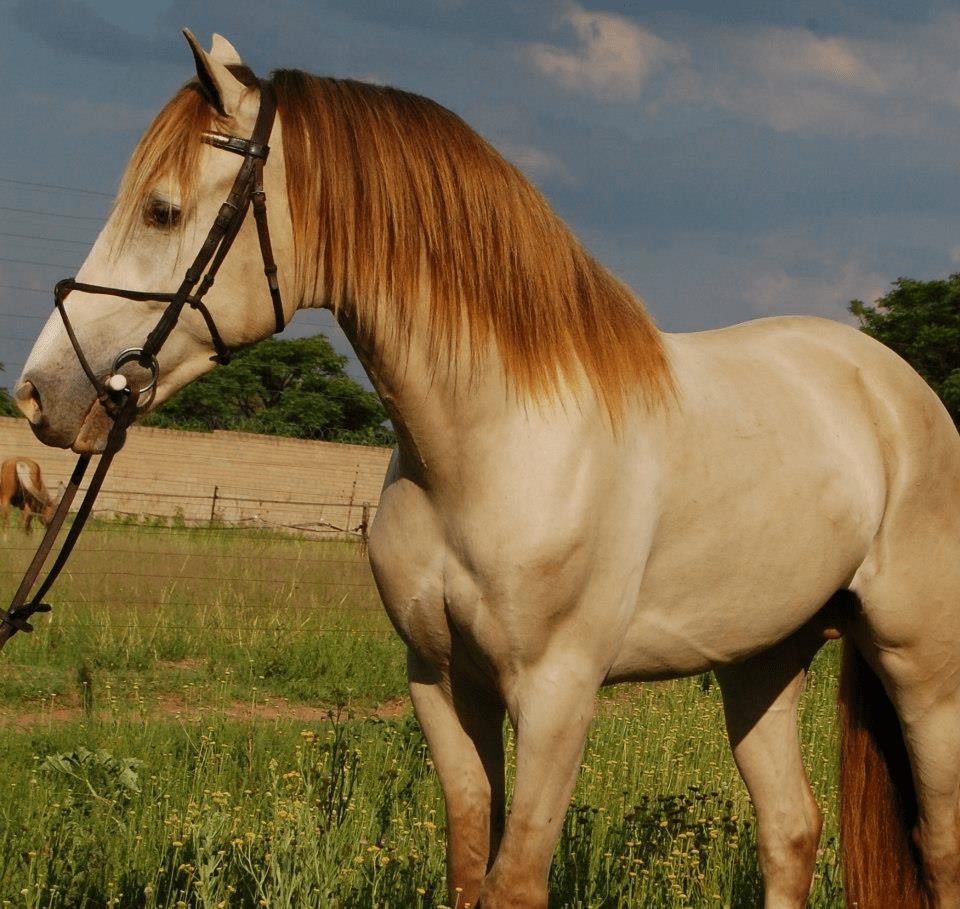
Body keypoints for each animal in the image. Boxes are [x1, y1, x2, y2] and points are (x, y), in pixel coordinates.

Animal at [12, 31, 960, 908]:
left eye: (162, 211)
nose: (41, 393)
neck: (495, 441)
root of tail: (895, 388)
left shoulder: (556, 696)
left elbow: (515, 880)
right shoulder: (443, 683)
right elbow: (471, 864)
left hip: (921, 668)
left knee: (938, 844)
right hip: (761, 659)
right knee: (790, 829)